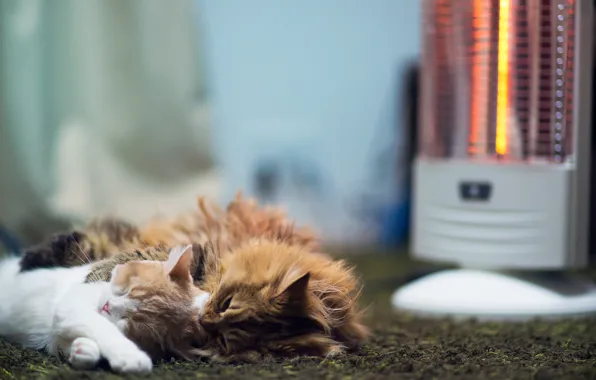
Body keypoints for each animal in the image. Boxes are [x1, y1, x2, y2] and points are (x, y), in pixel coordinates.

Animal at [0, 243, 210, 372]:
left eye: (129, 323)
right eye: (128, 290)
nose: (108, 306)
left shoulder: (58, 334)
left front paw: (82, 350)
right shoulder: (72, 305)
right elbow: (101, 326)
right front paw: (129, 355)